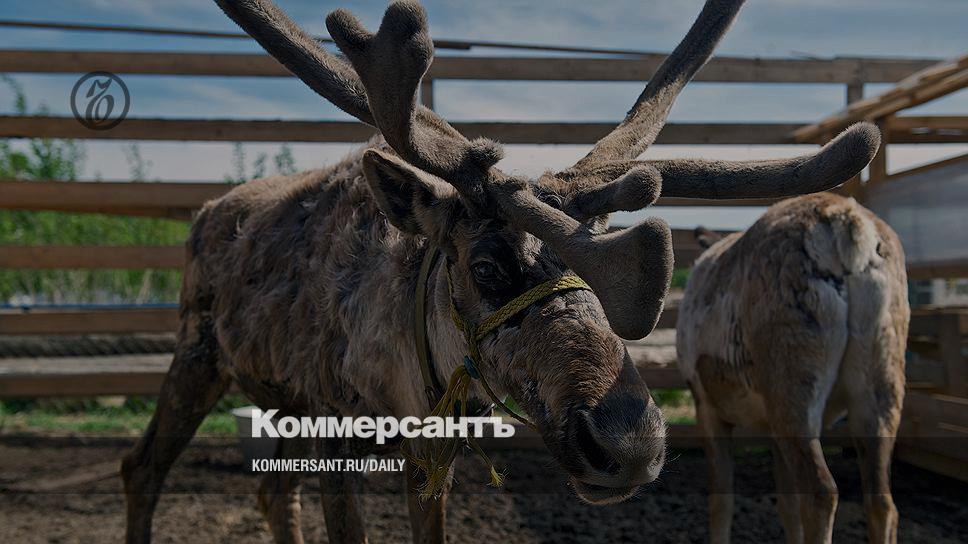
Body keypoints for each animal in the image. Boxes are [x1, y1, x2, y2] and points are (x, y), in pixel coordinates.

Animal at [121, 0, 881, 542]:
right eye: (485, 266)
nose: (630, 442)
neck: (404, 368)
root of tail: (209, 210)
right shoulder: (337, 424)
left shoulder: (430, 454)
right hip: (198, 352)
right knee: (143, 468)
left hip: (278, 399)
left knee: (274, 492)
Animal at [677, 193, 909, 544]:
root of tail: (845, 222)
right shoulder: (771, 427)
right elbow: (787, 506)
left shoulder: (706, 404)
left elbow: (722, 502)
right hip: (880, 382)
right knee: (883, 502)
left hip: (792, 383)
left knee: (822, 492)